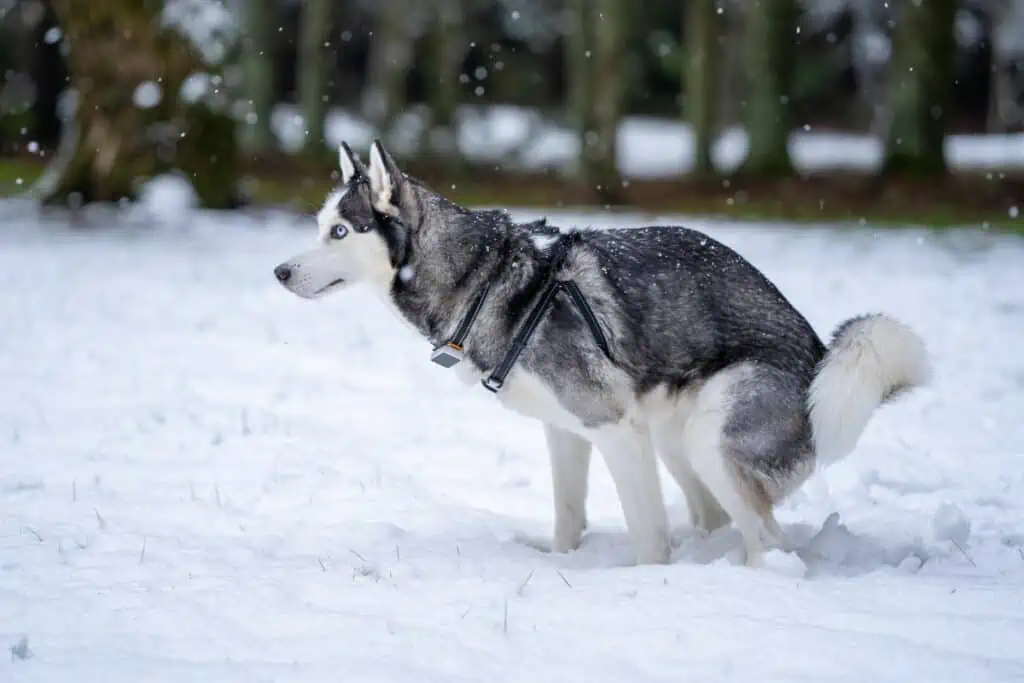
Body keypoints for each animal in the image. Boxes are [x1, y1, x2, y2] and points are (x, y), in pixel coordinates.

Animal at [276, 139, 933, 565]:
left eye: (340, 232)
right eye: (318, 226)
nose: (279, 272)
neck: (486, 279)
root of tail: (819, 357)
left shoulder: (615, 429)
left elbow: (647, 536)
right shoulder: (567, 432)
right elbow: (569, 513)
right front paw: (562, 563)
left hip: (708, 438)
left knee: (768, 542)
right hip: (673, 436)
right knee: (721, 520)